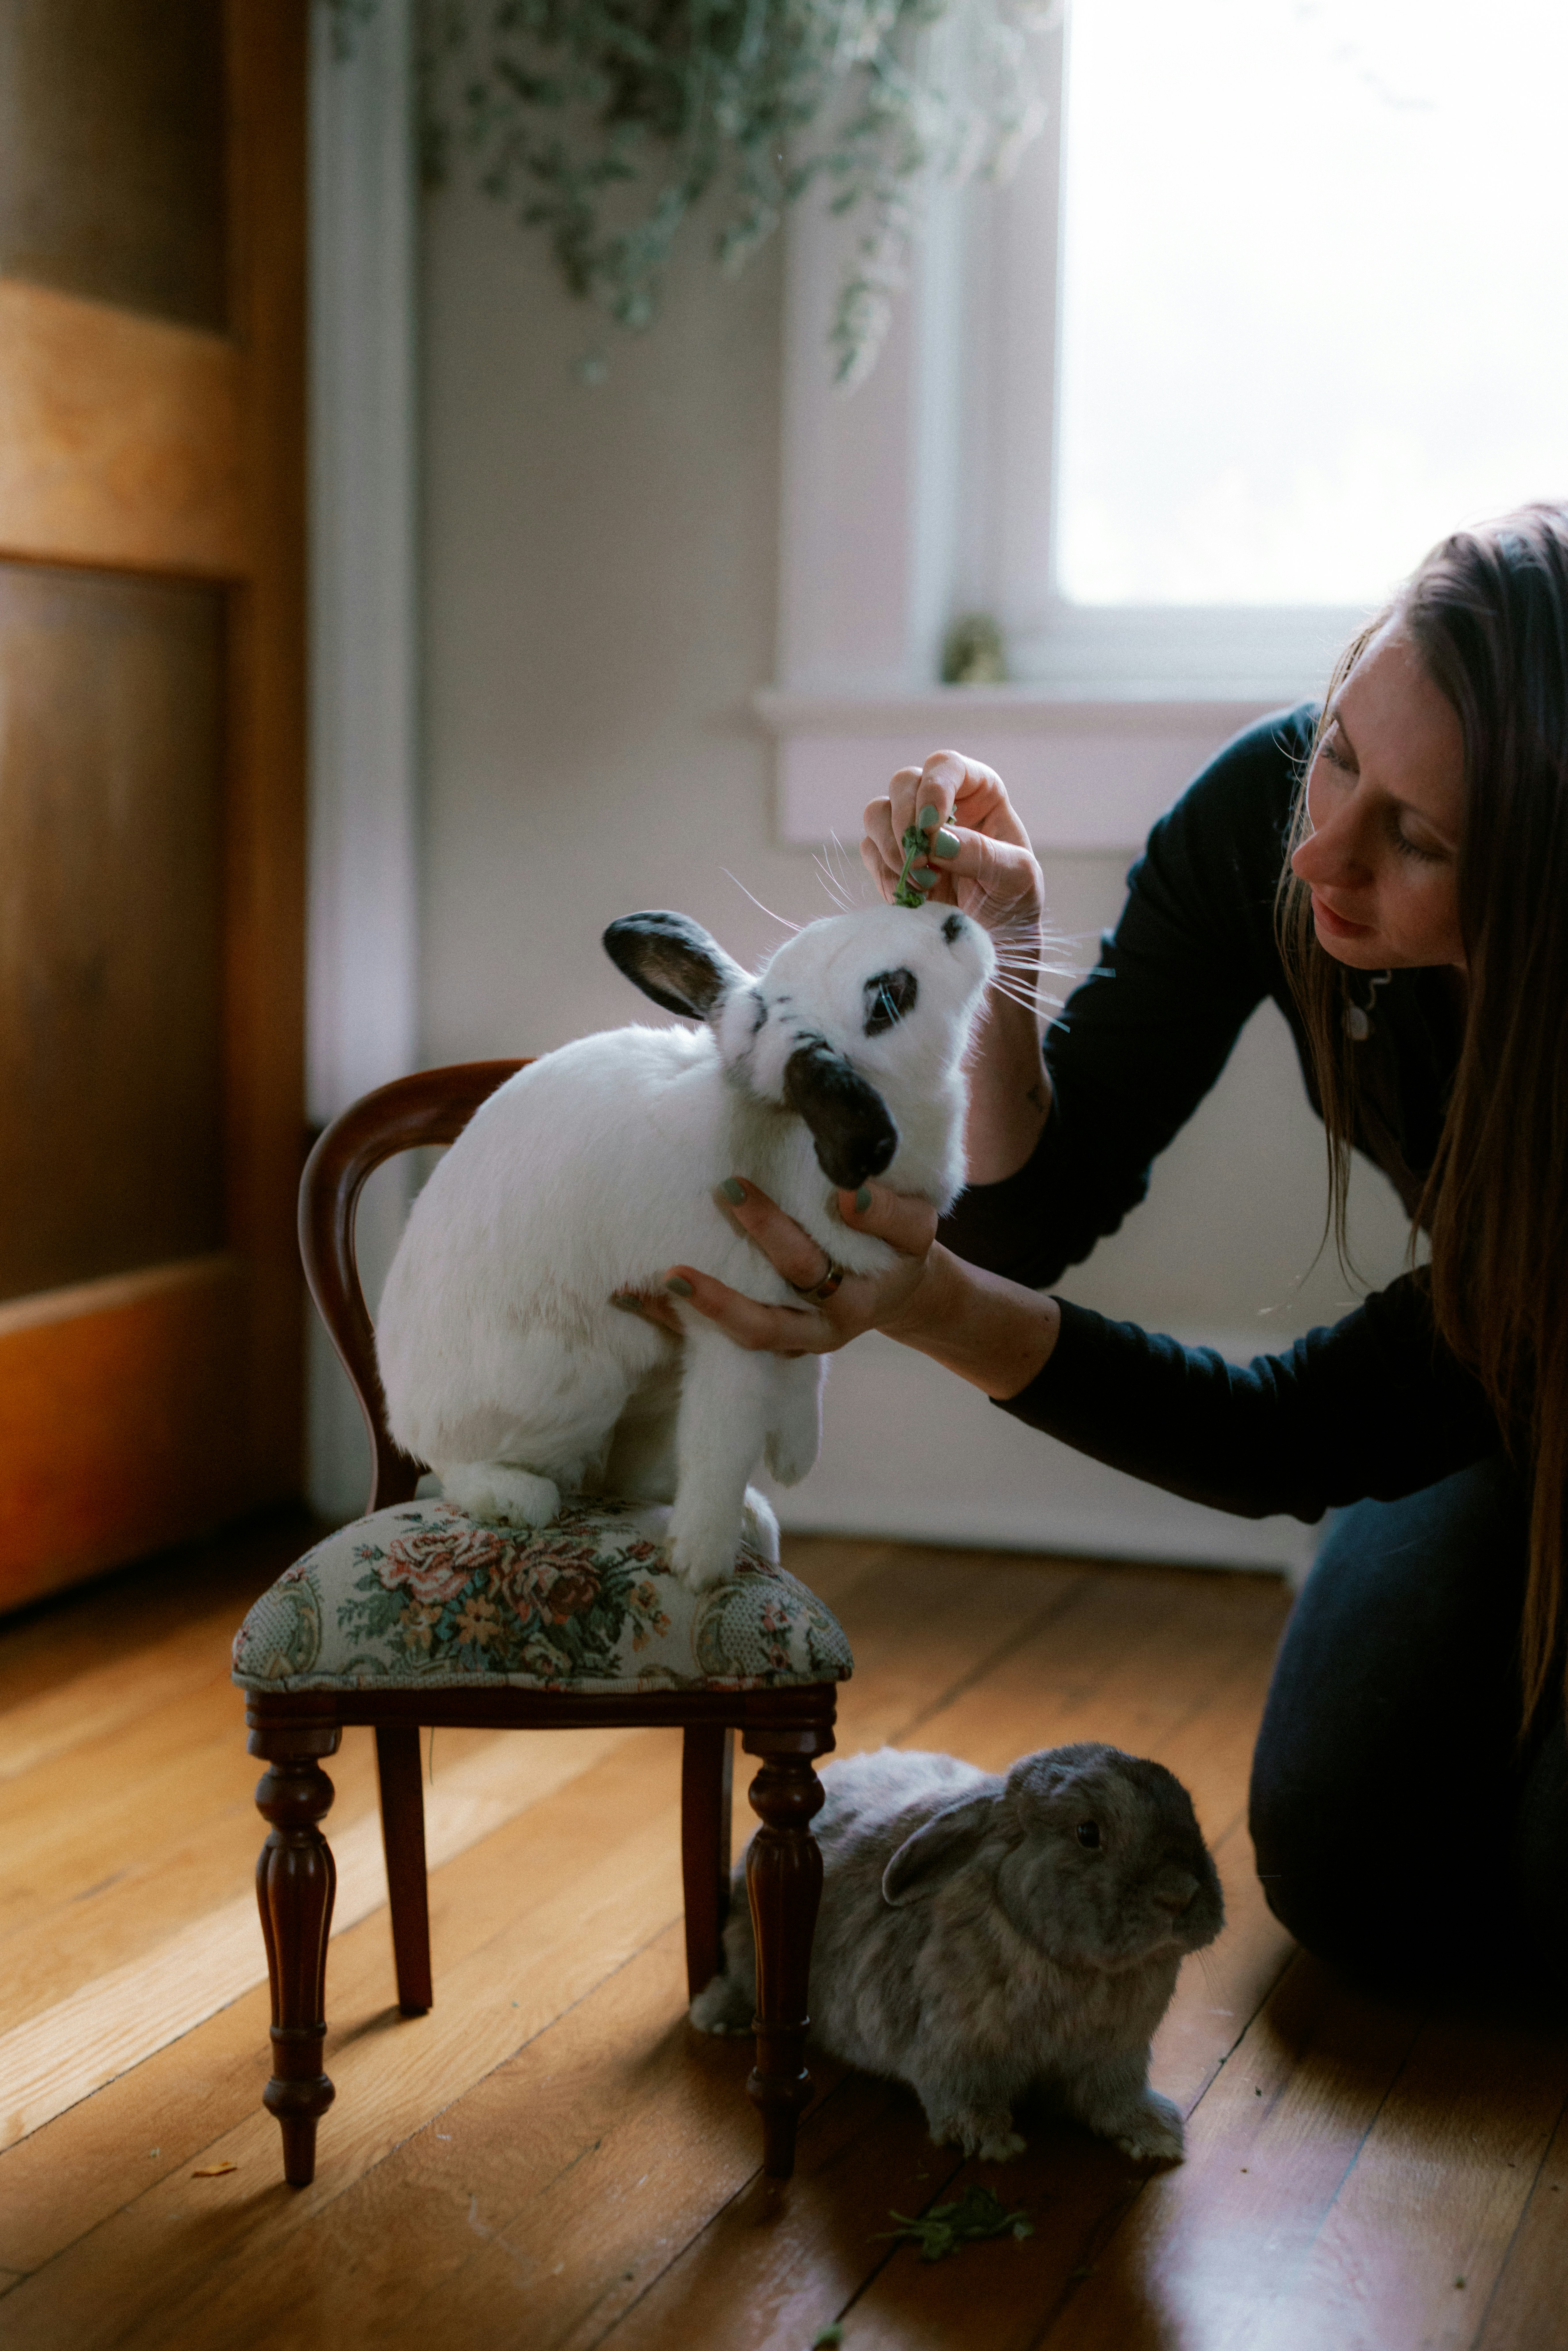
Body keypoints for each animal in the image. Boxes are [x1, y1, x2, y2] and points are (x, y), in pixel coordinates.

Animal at [375, 900, 995, 1592]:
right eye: (887, 999)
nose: (952, 920)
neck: (779, 1126)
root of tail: (403, 1409)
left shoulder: (795, 1311)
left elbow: (807, 1372)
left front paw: (795, 1457)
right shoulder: (726, 1327)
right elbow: (721, 1442)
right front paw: (700, 1565)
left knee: (627, 1476)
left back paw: (753, 1516)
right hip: (570, 1387)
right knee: (460, 1467)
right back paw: (520, 1498)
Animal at [689, 1741, 1225, 2165]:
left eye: (1189, 1809)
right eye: (1087, 1834)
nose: (1179, 1895)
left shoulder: (1115, 2060)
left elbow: (1115, 2104)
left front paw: (1157, 2137)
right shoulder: (957, 2053)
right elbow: (962, 2100)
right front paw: (993, 2143)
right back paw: (716, 2020)